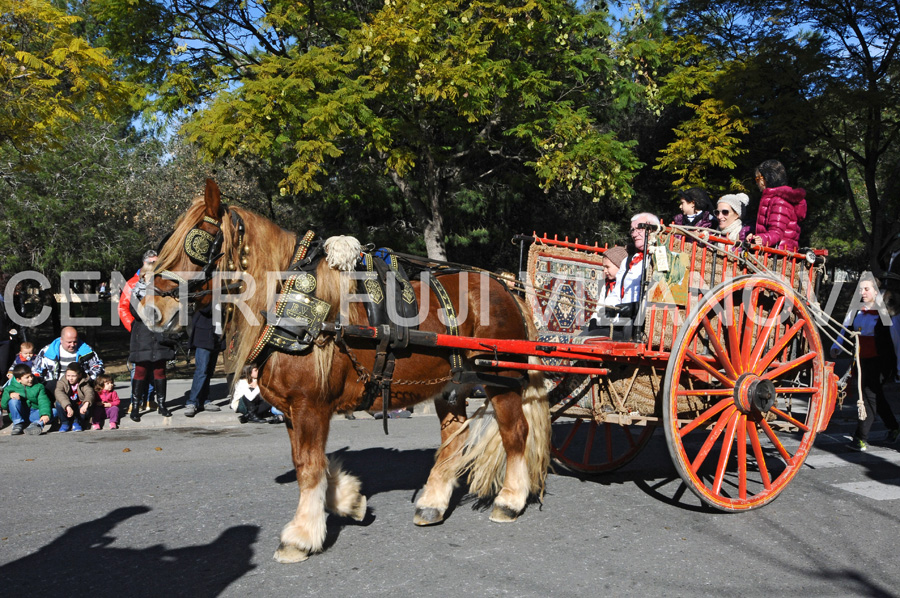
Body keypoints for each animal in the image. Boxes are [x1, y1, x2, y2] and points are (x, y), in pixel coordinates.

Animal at [142, 180, 548, 564]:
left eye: (196, 243)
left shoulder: (310, 405)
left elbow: (308, 467)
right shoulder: (292, 409)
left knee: (515, 433)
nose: (150, 310)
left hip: (499, 379)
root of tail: (508, 290)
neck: (290, 301)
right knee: (454, 437)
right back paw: (433, 502)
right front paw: (348, 500)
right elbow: (312, 463)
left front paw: (301, 536)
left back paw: (510, 500)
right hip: (453, 384)